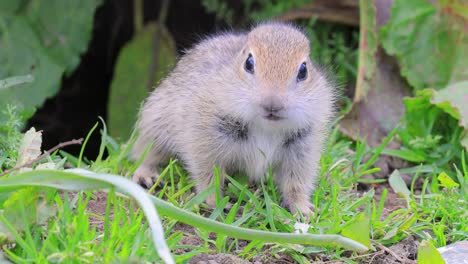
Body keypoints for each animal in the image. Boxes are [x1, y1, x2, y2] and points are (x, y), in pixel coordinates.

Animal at [132, 22, 334, 217]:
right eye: (249, 62)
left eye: (303, 70)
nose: (272, 104)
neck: (266, 127)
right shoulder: (204, 140)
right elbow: (208, 175)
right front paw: (215, 202)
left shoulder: (303, 149)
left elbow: (297, 182)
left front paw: (302, 208)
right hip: (155, 124)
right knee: (144, 152)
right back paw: (145, 175)